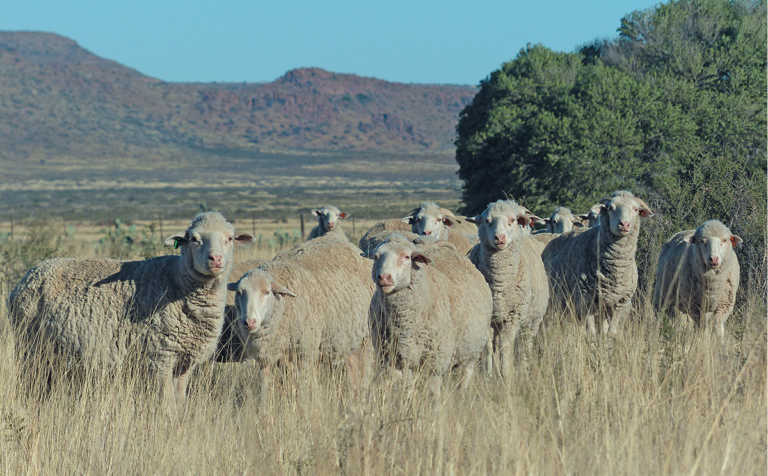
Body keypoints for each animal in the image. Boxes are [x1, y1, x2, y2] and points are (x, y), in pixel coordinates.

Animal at [7, 212, 252, 402]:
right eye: (194, 239)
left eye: (230, 238)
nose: (216, 259)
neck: (177, 282)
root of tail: (30, 274)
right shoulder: (160, 358)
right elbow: (167, 404)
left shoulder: (184, 363)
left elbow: (180, 402)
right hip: (30, 347)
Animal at [368, 238, 492, 386]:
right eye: (376, 257)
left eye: (406, 257)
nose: (384, 277)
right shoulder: (392, 360)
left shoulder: (435, 364)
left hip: (470, 354)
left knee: (465, 376)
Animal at [464, 199, 548, 378]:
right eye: (487, 221)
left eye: (512, 220)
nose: (499, 237)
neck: (500, 283)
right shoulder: (488, 316)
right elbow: (488, 347)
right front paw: (488, 374)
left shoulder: (512, 316)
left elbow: (506, 346)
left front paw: (506, 373)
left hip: (532, 320)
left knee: (525, 344)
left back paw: (524, 368)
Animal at [540, 190, 656, 334]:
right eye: (610, 208)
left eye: (636, 209)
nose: (624, 224)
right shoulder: (585, 301)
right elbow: (591, 333)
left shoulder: (621, 303)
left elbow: (611, 332)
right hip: (556, 302)